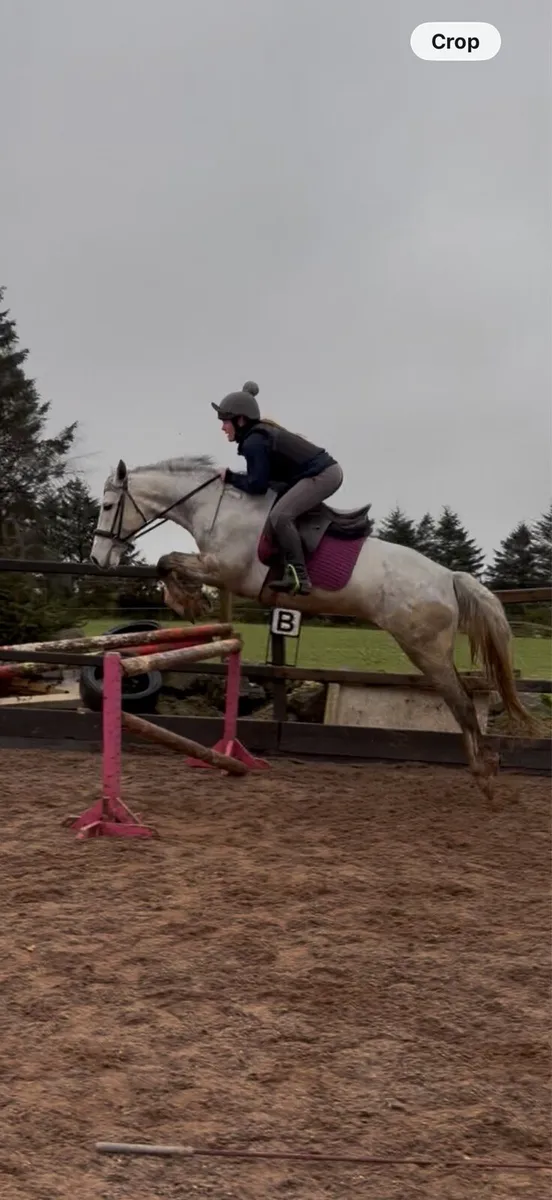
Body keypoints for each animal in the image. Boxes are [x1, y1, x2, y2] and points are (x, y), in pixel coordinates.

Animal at [90, 455, 532, 795]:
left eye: (108, 506)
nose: (97, 560)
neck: (218, 507)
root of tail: (449, 578)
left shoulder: (226, 570)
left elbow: (166, 560)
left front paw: (188, 600)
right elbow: (168, 562)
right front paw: (188, 599)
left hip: (425, 648)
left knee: (462, 703)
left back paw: (484, 775)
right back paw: (484, 769)